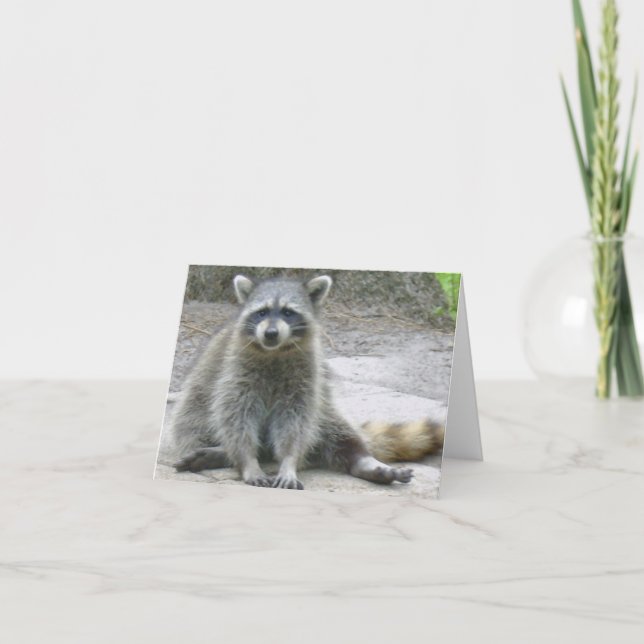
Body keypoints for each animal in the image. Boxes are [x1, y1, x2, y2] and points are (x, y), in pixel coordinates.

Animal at [170, 274, 444, 490]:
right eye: (261, 312)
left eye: (288, 312)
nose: (270, 333)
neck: (275, 351)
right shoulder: (235, 369)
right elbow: (235, 413)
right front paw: (248, 460)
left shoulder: (306, 373)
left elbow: (297, 419)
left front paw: (289, 461)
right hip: (197, 400)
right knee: (193, 418)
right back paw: (223, 453)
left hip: (323, 402)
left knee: (332, 423)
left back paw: (362, 460)